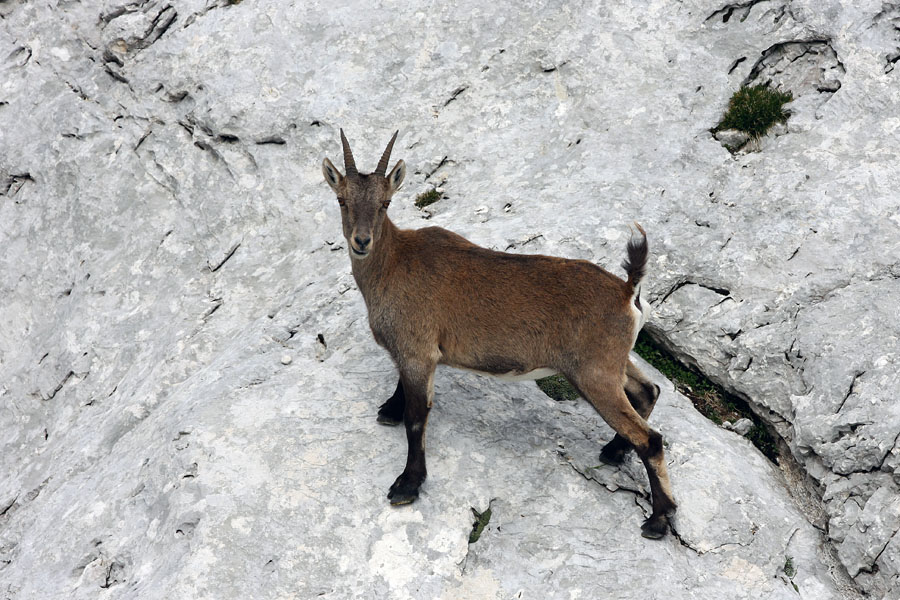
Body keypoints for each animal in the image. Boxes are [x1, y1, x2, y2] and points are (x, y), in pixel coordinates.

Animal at [321, 130, 676, 538]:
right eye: (342, 199)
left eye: (385, 203)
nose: (361, 241)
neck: (394, 263)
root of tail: (628, 291)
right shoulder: (414, 355)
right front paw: (389, 409)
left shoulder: (418, 352)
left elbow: (417, 417)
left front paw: (406, 485)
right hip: (613, 362)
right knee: (648, 391)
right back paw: (614, 452)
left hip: (594, 373)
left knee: (651, 438)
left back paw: (659, 518)